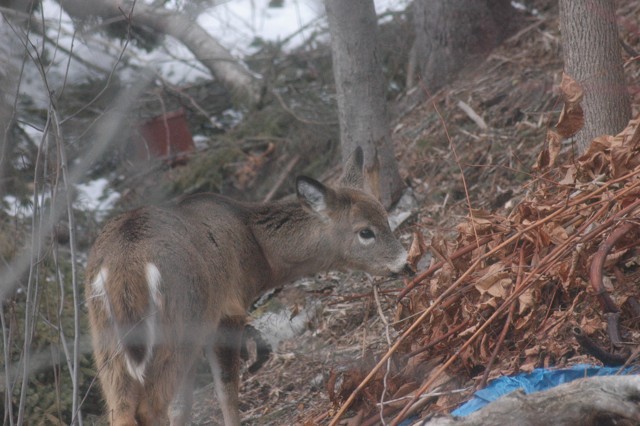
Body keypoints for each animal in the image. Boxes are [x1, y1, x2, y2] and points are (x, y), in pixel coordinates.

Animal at [85, 147, 411, 426]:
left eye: (386, 217)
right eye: (365, 232)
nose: (405, 262)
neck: (255, 250)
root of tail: (126, 265)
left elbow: (183, 407)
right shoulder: (227, 311)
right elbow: (226, 394)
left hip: (106, 342)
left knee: (121, 409)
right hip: (177, 324)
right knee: (149, 407)